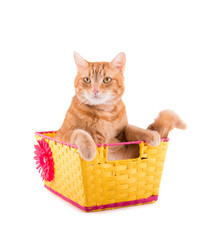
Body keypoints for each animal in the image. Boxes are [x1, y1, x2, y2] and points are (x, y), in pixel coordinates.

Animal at [54, 52, 186, 161]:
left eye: (107, 80)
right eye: (87, 80)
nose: (95, 90)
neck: (104, 113)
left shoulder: (121, 140)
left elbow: (130, 128)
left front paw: (150, 134)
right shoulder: (60, 135)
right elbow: (79, 132)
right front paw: (89, 149)